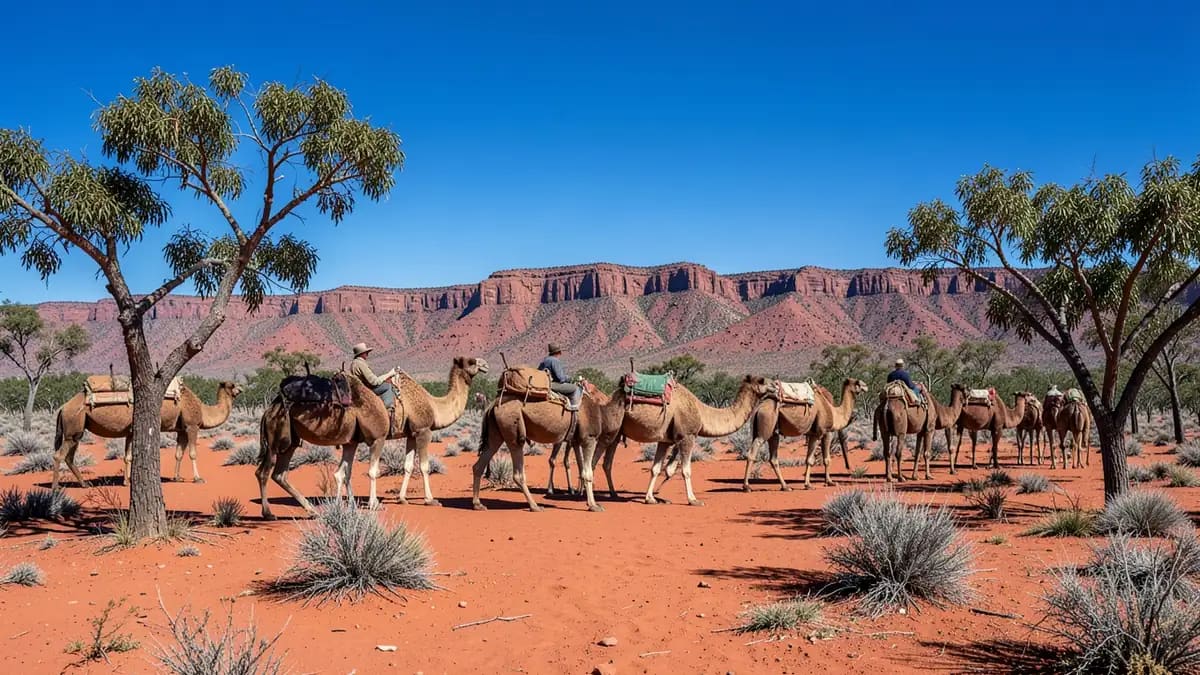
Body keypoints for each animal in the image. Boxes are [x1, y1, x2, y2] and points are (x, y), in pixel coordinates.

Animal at [52, 381, 243, 491]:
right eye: (232, 385)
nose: (241, 389)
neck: (203, 410)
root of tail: (63, 408)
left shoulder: (180, 430)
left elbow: (178, 454)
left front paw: (177, 477)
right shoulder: (192, 426)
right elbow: (192, 453)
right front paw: (198, 478)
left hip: (76, 431)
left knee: (68, 456)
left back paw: (84, 484)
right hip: (73, 426)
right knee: (59, 455)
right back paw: (55, 488)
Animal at [256, 356, 488, 519]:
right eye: (471, 361)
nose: (485, 364)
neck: (434, 405)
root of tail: (269, 408)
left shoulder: (410, 434)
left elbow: (407, 466)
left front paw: (401, 499)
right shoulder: (420, 431)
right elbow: (420, 467)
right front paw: (429, 500)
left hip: (293, 441)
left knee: (282, 474)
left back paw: (313, 510)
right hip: (276, 439)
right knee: (264, 472)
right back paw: (269, 513)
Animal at [472, 379, 613, 512]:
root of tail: (492, 405)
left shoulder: (576, 441)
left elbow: (581, 468)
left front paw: (582, 496)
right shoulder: (589, 438)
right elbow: (588, 472)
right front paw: (594, 506)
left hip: (496, 432)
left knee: (480, 463)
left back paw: (478, 504)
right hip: (512, 428)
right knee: (517, 470)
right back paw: (535, 506)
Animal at [595, 375, 771, 506]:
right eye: (762, 380)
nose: (775, 385)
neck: (702, 412)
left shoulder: (665, 440)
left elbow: (656, 468)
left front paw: (650, 498)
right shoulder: (688, 436)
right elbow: (686, 470)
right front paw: (693, 500)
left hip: (617, 434)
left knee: (607, 463)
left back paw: (613, 494)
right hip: (610, 430)